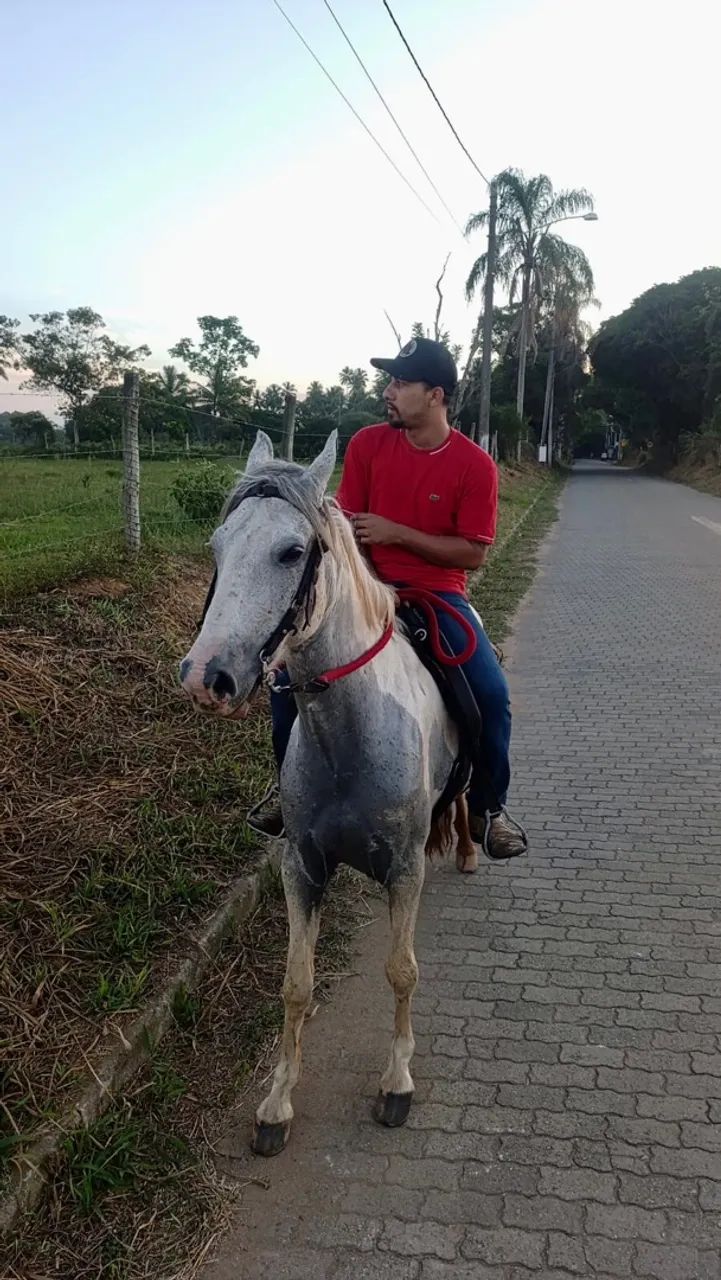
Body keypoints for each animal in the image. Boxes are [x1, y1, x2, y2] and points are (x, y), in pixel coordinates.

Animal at [180, 429, 478, 1157]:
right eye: (218, 545)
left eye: (292, 552)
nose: (205, 677)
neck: (350, 732)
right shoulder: (302, 866)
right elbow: (295, 984)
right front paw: (276, 1103)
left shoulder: (403, 869)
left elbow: (402, 971)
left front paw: (396, 1082)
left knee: (463, 801)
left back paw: (473, 846)